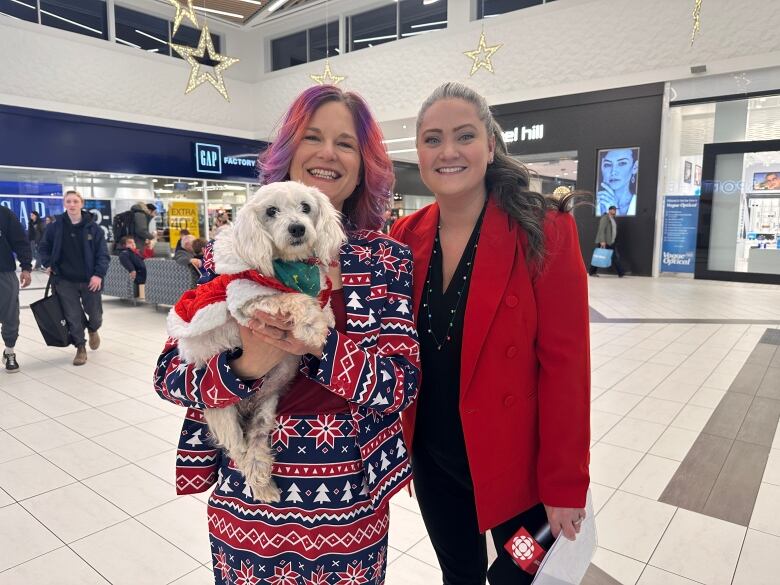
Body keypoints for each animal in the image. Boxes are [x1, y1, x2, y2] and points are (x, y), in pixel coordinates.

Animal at [168, 182, 344, 502]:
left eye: (306, 207)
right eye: (271, 211)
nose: (298, 228)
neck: (289, 270)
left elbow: (319, 299)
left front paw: (324, 317)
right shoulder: (249, 299)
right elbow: (289, 298)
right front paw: (312, 326)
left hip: (267, 406)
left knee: (256, 443)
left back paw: (264, 480)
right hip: (220, 410)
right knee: (238, 449)